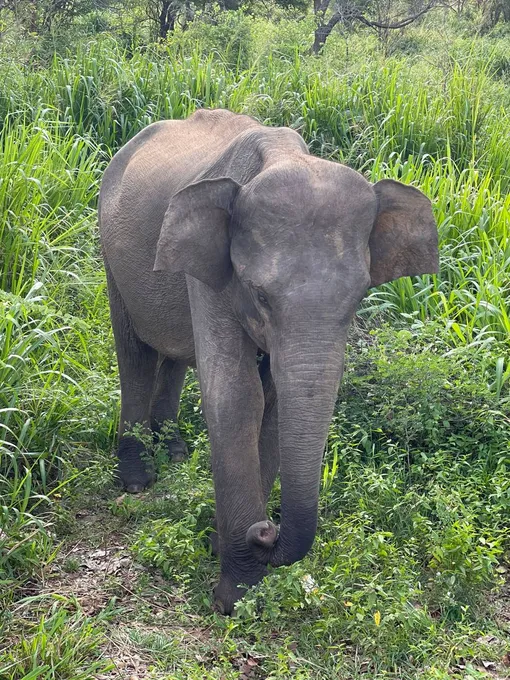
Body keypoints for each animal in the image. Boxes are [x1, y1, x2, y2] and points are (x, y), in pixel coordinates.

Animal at [98, 109, 438, 612]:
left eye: (359, 299)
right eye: (260, 295)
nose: (266, 530)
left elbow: (273, 405)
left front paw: (225, 549)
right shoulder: (215, 274)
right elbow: (237, 397)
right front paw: (233, 599)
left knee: (174, 353)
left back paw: (175, 452)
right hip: (110, 250)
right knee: (135, 354)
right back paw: (138, 480)